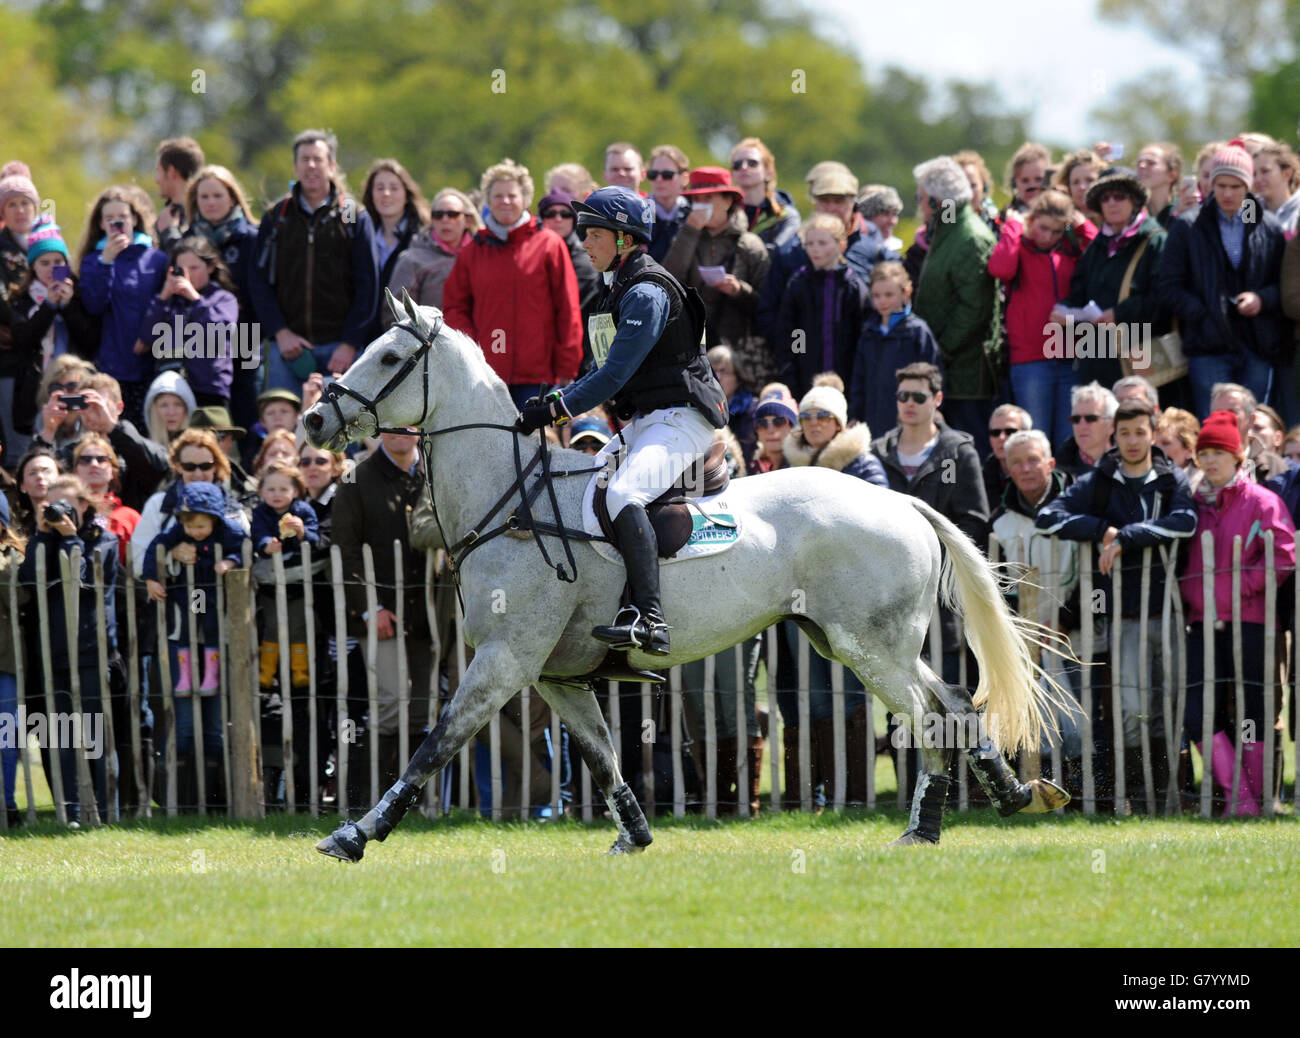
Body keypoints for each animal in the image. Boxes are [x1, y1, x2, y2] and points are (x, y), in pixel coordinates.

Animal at [305, 289, 1070, 860]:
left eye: (391, 356)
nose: (314, 418)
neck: (511, 499)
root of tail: (900, 500)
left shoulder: (503, 659)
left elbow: (434, 746)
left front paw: (357, 833)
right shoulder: (555, 674)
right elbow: (604, 757)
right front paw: (634, 837)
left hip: (869, 647)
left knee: (927, 715)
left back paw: (925, 826)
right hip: (852, 640)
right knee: (955, 703)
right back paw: (1006, 794)